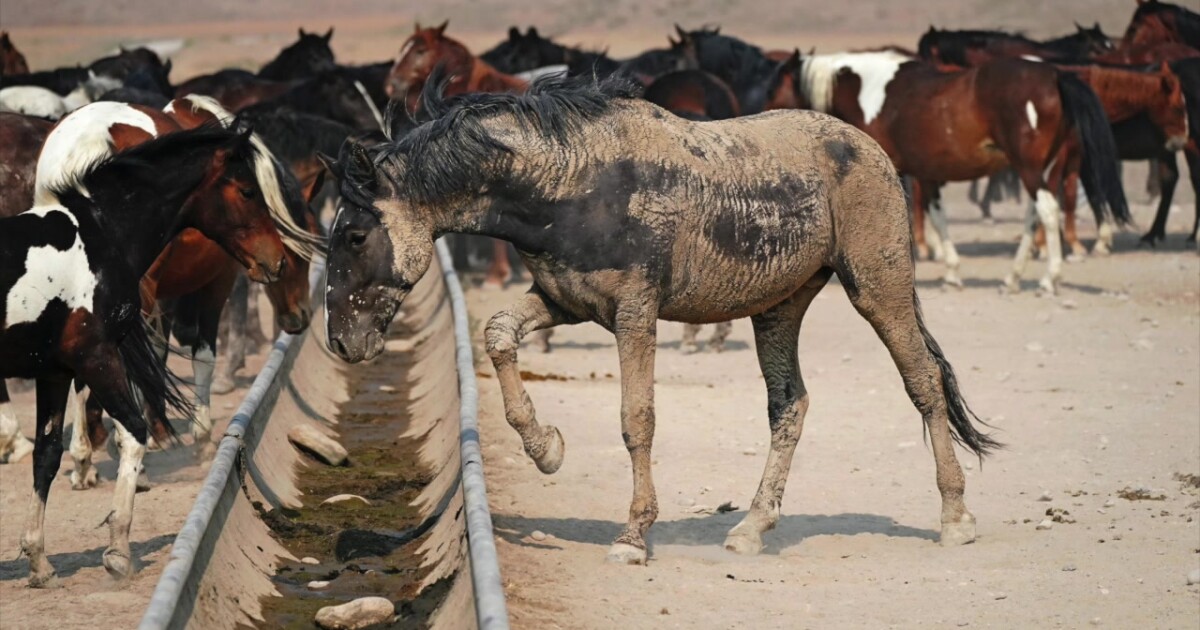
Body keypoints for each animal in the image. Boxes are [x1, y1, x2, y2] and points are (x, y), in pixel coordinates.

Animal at [1, 124, 285, 587]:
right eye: (246, 190)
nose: (275, 260)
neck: (99, 237)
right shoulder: (96, 357)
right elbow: (134, 431)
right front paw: (118, 550)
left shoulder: (55, 371)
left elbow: (47, 455)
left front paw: (39, 561)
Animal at [319, 74, 999, 565]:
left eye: (354, 235)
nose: (342, 343)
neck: (572, 183)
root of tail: (868, 149)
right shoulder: (568, 303)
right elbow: (498, 335)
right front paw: (547, 449)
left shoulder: (634, 313)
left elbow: (636, 419)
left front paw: (632, 536)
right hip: (779, 308)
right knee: (790, 405)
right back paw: (751, 528)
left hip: (878, 287)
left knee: (922, 382)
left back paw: (956, 519)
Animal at [795, 52, 1130, 294]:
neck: (872, 93)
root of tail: (1055, 75)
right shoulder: (926, 174)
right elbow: (937, 217)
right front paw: (951, 273)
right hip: (1044, 170)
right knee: (1035, 215)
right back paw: (1013, 278)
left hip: (1029, 169)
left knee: (1046, 211)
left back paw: (1050, 278)